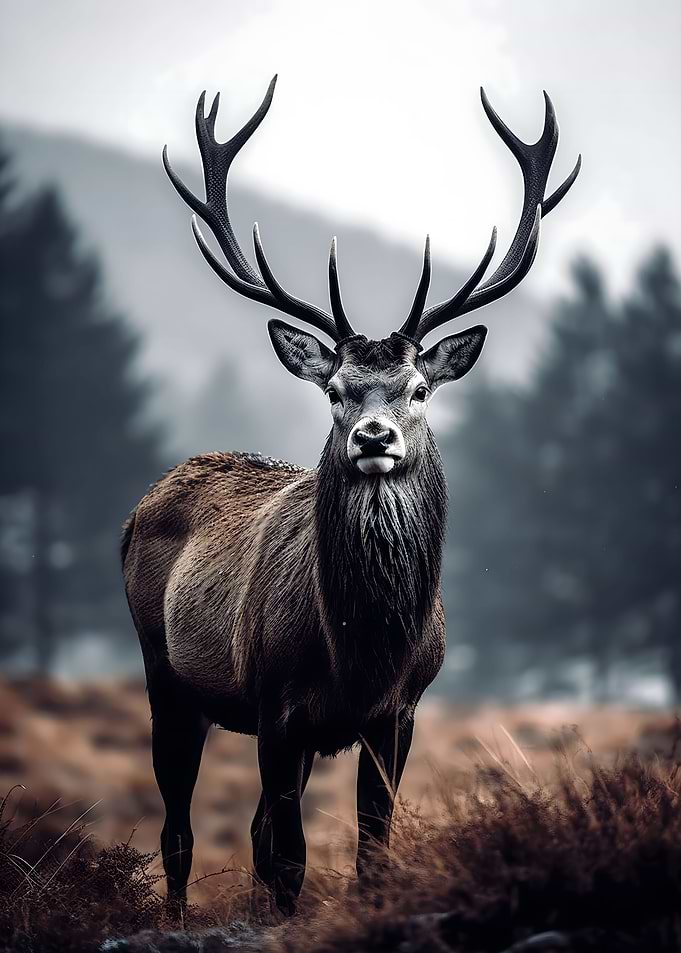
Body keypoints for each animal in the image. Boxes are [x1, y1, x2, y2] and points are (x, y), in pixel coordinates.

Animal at [121, 75, 580, 917]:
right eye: (334, 389)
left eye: (420, 388)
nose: (372, 436)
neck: (361, 649)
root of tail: (144, 502)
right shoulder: (274, 704)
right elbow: (288, 859)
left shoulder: (398, 711)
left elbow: (369, 849)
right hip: (163, 672)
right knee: (178, 826)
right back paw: (171, 916)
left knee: (244, 829)